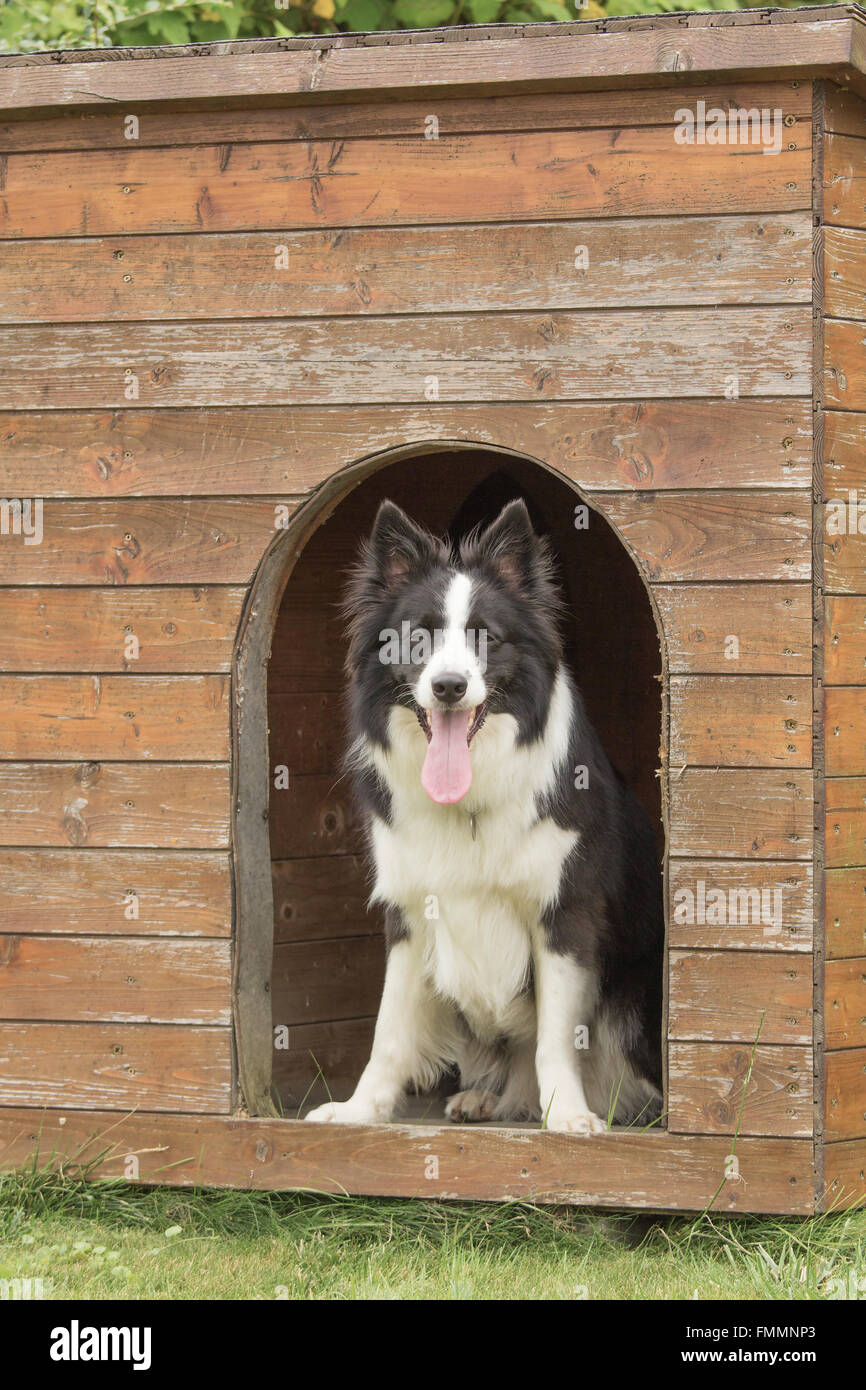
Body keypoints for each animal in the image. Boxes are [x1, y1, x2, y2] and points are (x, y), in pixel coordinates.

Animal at [309, 497, 664, 1128]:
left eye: (485, 638)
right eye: (418, 638)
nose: (449, 686)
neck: (469, 800)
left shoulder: (565, 910)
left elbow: (555, 1037)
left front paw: (567, 1116)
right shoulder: (410, 910)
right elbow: (390, 1028)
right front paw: (360, 1110)